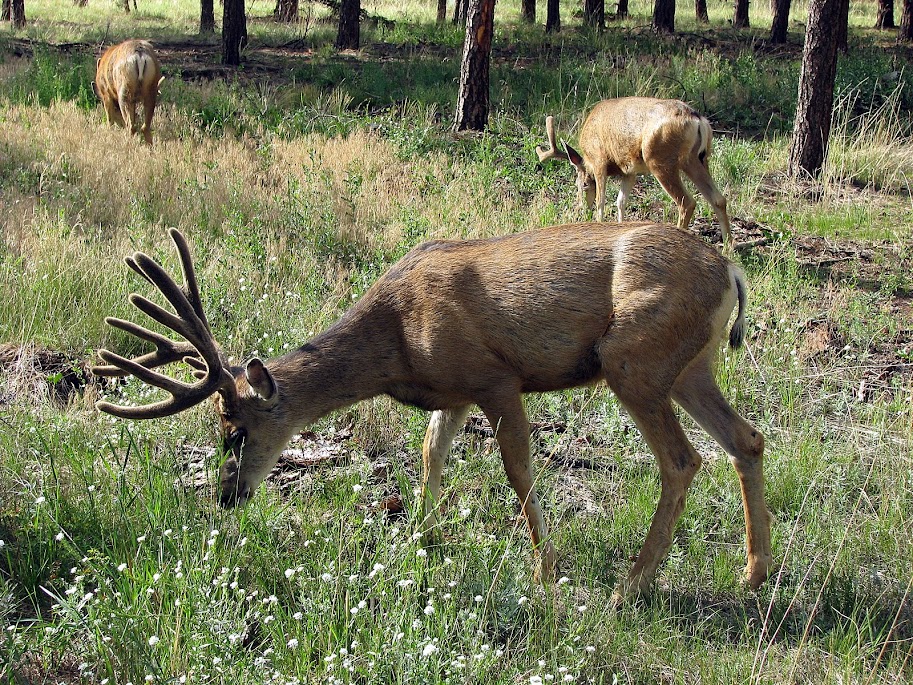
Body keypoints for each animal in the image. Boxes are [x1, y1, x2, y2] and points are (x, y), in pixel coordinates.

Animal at [92, 223, 772, 601]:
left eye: (234, 430)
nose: (225, 496)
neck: (398, 343)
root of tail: (731, 271)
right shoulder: (455, 392)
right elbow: (429, 455)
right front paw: (421, 540)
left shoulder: (495, 377)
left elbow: (519, 471)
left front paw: (545, 572)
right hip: (689, 366)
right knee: (747, 439)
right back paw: (752, 573)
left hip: (634, 358)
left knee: (683, 460)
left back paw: (632, 584)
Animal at [536, 98, 732, 246]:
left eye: (582, 185)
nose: (581, 209)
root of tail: (697, 119)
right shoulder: (629, 171)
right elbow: (620, 202)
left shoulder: (600, 161)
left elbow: (601, 201)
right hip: (697, 159)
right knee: (718, 199)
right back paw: (728, 246)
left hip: (660, 159)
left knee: (687, 202)